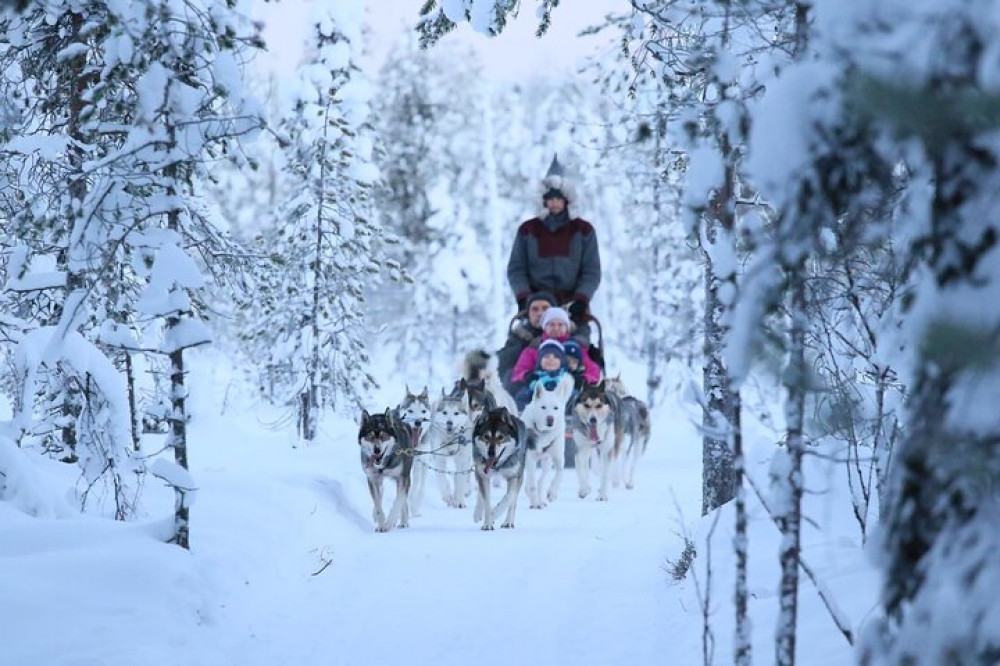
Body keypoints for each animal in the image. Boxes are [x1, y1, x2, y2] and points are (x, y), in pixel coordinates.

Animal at [396, 384, 432, 512]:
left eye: (423, 411)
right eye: (410, 410)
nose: (418, 422)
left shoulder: (424, 460)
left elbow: (421, 484)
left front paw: (415, 507)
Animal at [520, 374, 576, 508]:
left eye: (556, 408)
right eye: (543, 407)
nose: (550, 419)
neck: (544, 434)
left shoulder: (558, 458)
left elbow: (559, 474)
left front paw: (552, 493)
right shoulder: (530, 458)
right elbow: (532, 483)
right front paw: (535, 503)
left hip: (547, 461)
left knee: (542, 479)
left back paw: (542, 499)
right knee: (531, 480)